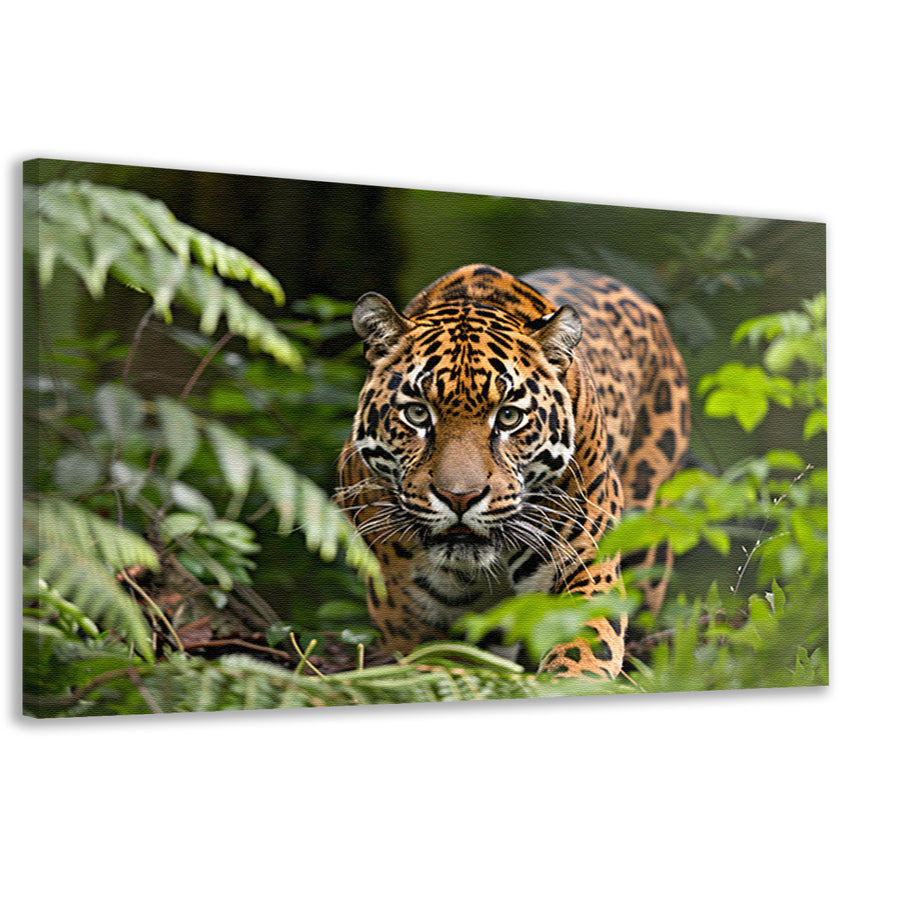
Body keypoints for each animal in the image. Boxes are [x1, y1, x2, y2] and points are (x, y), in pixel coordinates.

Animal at [336, 263, 690, 678]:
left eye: (508, 416)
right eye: (418, 413)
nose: (460, 498)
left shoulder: (585, 565)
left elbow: (580, 653)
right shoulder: (406, 609)